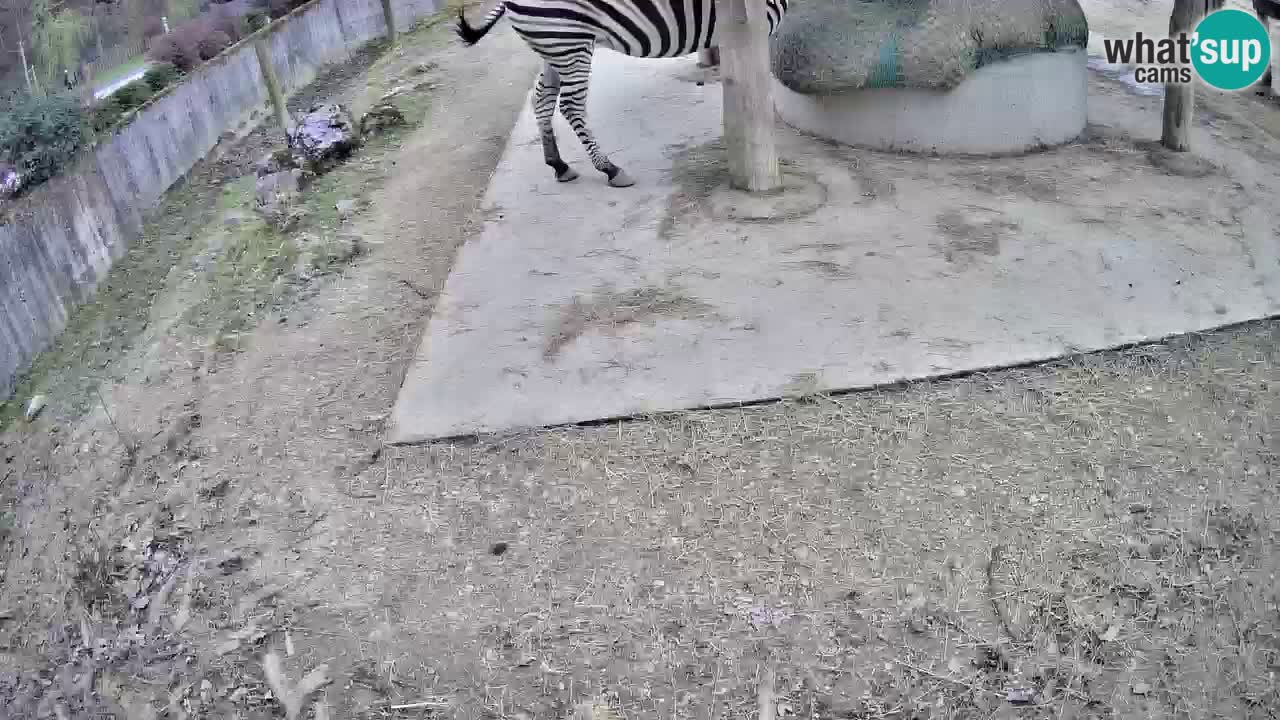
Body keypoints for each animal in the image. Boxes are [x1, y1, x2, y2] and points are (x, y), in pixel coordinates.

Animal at [456, 0, 789, 188]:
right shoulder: (758, 23)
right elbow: (758, 82)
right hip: (568, 41)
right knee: (571, 106)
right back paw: (610, 169)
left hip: (554, 45)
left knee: (542, 98)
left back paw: (559, 165)